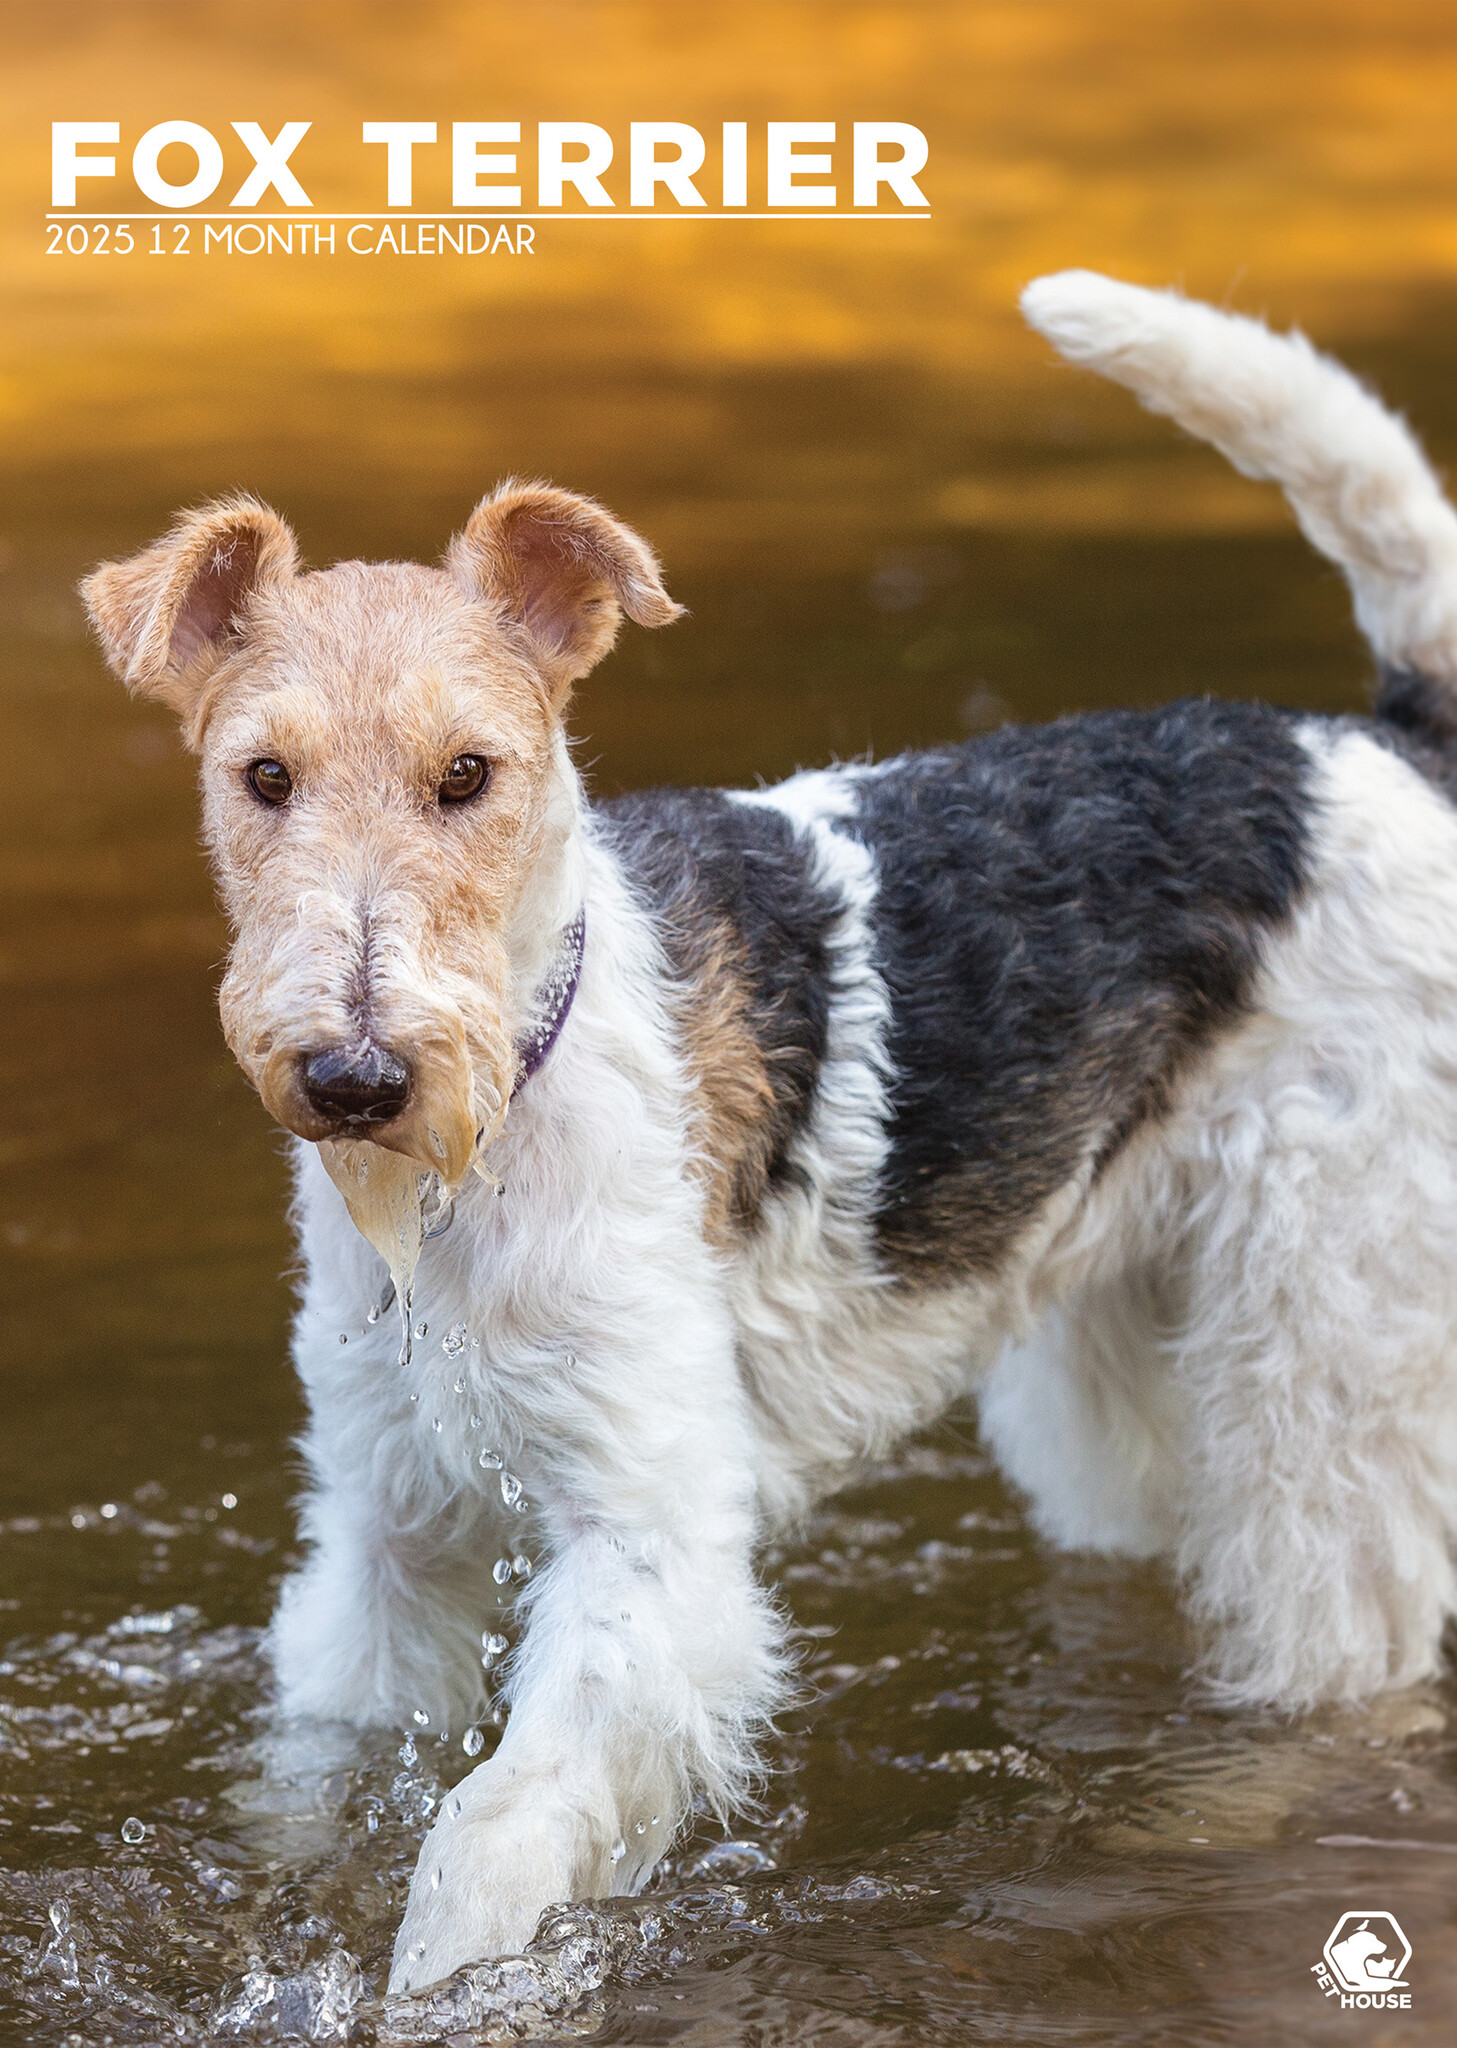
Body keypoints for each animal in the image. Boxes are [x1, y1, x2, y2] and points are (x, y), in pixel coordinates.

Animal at [85, 268, 1457, 1982]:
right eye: (262, 775)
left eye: (470, 774)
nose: (356, 1079)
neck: (501, 1124)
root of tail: (1384, 746)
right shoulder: (384, 1531)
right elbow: (325, 1770)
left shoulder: (647, 1543)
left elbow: (480, 1847)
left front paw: (439, 1989)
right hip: (1115, 1356)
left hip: (1328, 1356)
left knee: (1340, 1641)